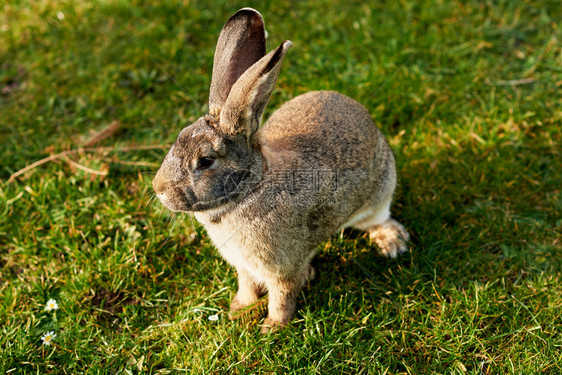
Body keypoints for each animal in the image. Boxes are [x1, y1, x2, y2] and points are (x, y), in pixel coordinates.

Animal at [152, 7, 406, 334]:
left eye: (205, 161)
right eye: (179, 137)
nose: (158, 189)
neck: (248, 191)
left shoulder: (282, 266)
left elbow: (282, 295)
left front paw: (272, 327)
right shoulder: (245, 265)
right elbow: (246, 285)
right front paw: (239, 307)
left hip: (381, 191)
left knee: (378, 219)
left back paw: (392, 243)